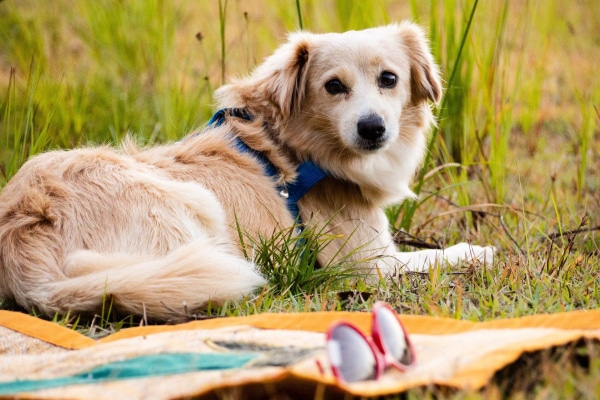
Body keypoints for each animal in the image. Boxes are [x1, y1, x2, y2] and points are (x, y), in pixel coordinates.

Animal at [0, 22, 492, 322]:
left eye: (389, 79)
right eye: (334, 86)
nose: (372, 127)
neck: (293, 148)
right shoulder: (366, 263)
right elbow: (430, 257)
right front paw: (476, 251)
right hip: (195, 206)